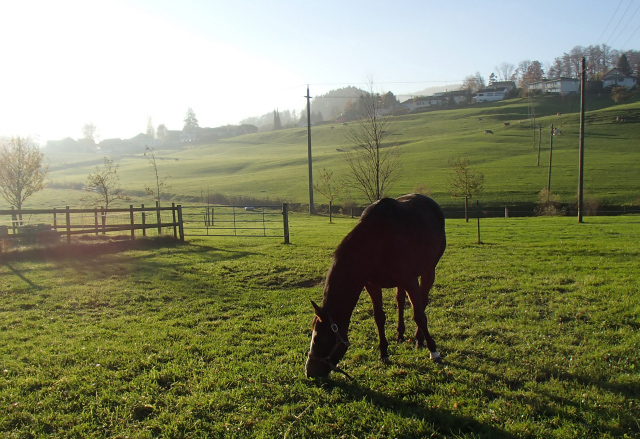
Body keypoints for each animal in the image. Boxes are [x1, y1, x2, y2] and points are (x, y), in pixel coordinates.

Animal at [306, 194, 448, 380]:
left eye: (319, 339)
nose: (309, 371)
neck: (377, 240)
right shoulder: (372, 285)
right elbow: (379, 317)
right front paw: (384, 353)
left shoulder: (410, 280)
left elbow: (419, 316)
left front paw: (434, 351)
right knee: (400, 302)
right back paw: (400, 334)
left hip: (429, 270)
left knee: (422, 303)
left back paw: (419, 339)